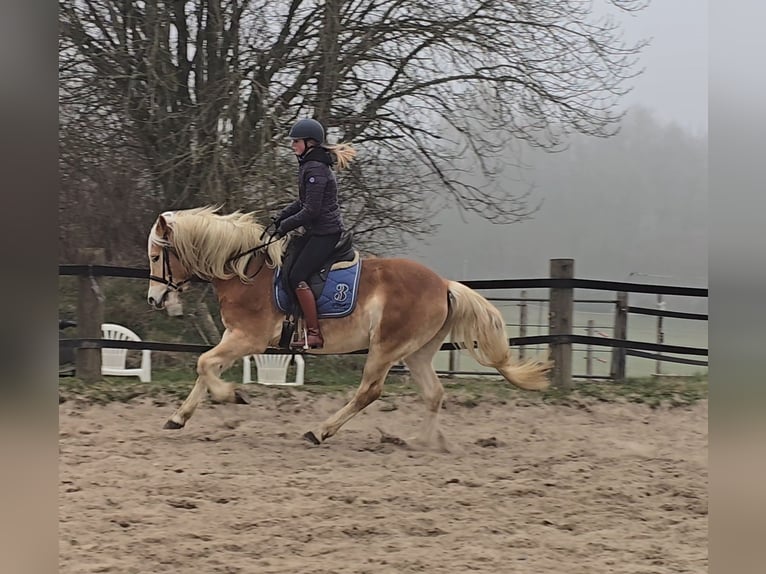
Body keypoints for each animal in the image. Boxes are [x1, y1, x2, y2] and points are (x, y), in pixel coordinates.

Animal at [146, 207, 552, 450]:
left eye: (156, 255)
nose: (153, 299)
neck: (247, 271)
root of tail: (443, 284)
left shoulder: (248, 338)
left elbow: (203, 364)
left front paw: (233, 396)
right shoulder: (234, 337)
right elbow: (206, 368)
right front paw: (178, 418)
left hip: (386, 348)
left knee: (369, 391)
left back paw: (321, 430)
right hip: (418, 352)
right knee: (433, 393)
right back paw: (419, 442)